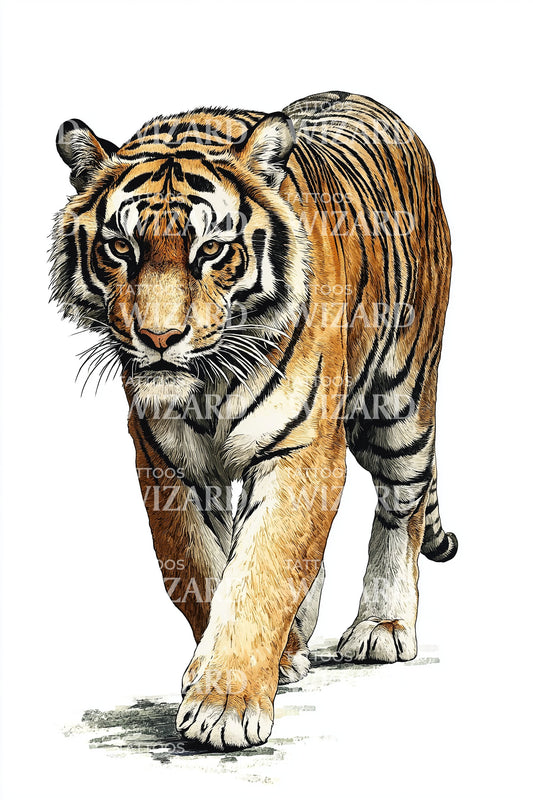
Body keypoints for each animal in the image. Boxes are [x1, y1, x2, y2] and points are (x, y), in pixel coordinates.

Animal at [50, 90, 457, 751]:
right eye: (121, 249)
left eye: (211, 250)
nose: (158, 338)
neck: (209, 384)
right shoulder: (164, 464)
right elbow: (197, 567)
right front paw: (264, 662)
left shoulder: (303, 450)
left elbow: (263, 569)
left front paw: (224, 705)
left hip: (402, 401)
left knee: (403, 507)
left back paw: (382, 624)